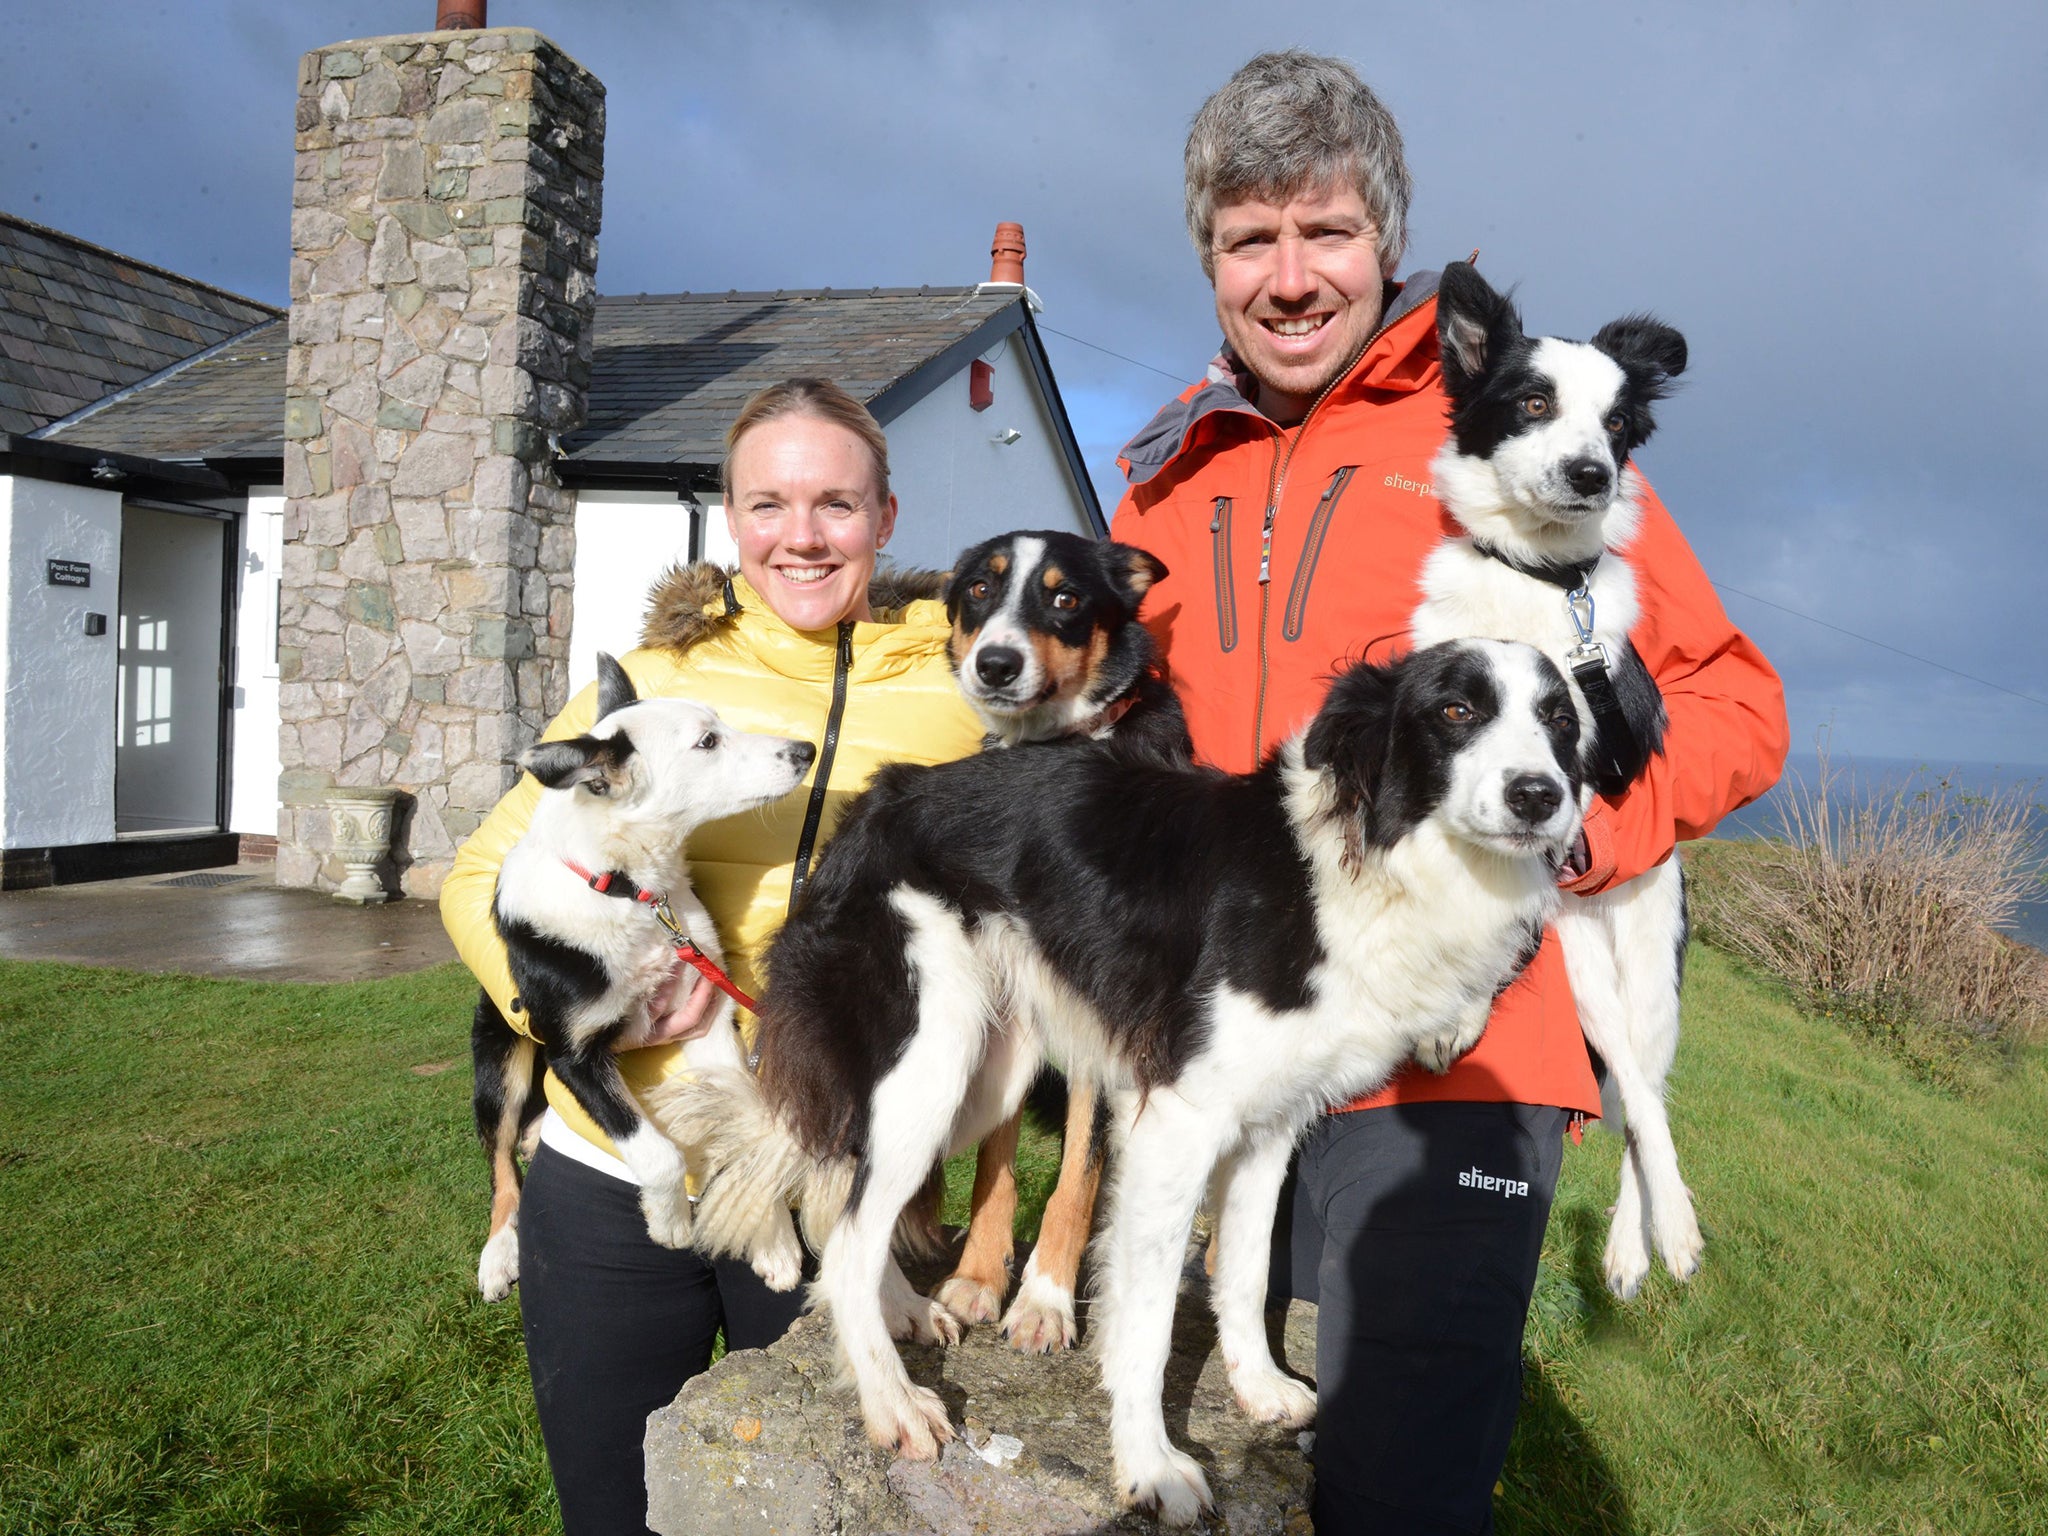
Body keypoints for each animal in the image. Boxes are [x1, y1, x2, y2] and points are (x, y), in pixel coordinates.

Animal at [468, 651, 811, 1302]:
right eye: (707, 741)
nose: (804, 748)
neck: (629, 890)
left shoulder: (710, 1021)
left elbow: (742, 1123)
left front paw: (772, 1239)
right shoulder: (573, 1054)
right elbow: (655, 1151)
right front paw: (670, 1221)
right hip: (502, 1055)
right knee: (499, 1157)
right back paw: (498, 1252)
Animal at [655, 638, 1581, 1531]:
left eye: (1563, 723)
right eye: (1456, 711)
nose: (1542, 797)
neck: (1354, 869)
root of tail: (874, 801)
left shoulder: (1269, 1126)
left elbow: (1245, 1272)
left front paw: (1258, 1388)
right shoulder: (1179, 1122)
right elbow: (1145, 1318)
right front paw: (1150, 1468)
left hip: (981, 1078)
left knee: (841, 1199)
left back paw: (901, 1314)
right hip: (933, 1055)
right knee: (847, 1235)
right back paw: (893, 1401)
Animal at [921, 532, 1196, 1359]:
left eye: (1066, 597)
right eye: (979, 591)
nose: (995, 664)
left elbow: (1076, 1175)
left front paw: (1043, 1300)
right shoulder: (1008, 1002)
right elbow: (995, 1164)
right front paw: (978, 1278)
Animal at [1417, 262, 1703, 1302]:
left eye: (1617, 424)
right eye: (1534, 403)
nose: (1594, 474)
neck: (1537, 584)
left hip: (1645, 971)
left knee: (1644, 1099)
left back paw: (1652, 1237)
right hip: (1583, 957)